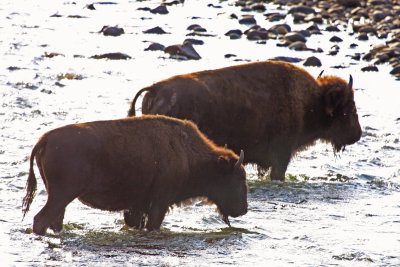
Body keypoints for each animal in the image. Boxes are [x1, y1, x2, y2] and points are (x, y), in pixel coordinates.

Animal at [22, 115, 247, 237]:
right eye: (238, 179)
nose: (244, 209)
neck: (185, 151)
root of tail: (45, 139)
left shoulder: (137, 207)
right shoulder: (159, 204)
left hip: (58, 197)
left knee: (55, 220)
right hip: (62, 195)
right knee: (41, 219)